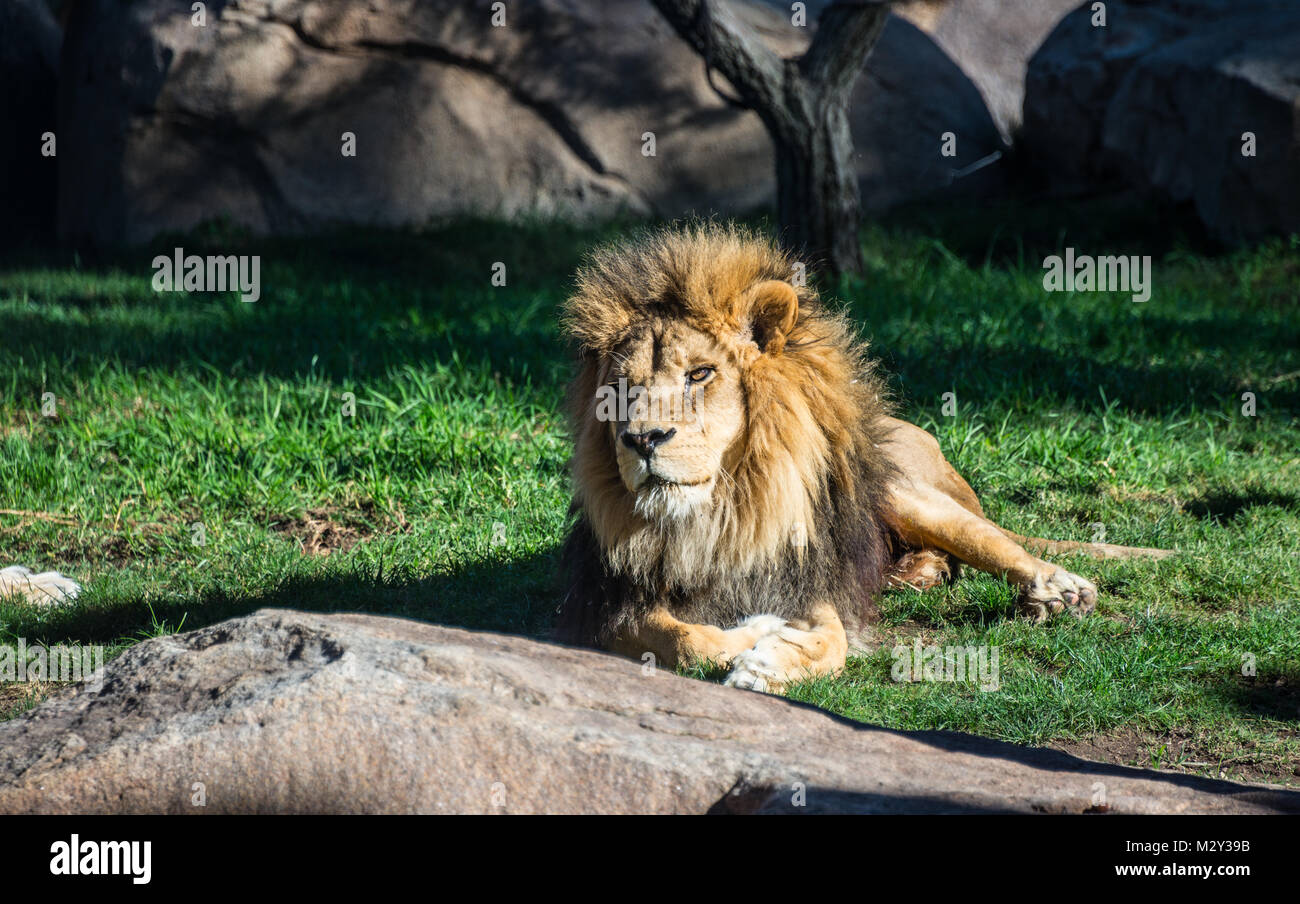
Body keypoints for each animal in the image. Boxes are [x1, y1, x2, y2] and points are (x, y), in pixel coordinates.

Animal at [555, 223, 1170, 693]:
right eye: (622, 388)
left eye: (700, 374)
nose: (642, 440)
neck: (722, 514)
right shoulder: (605, 606)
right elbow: (682, 637)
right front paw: (752, 637)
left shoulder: (809, 579)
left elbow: (834, 643)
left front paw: (765, 659)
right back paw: (916, 575)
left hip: (909, 495)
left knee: (993, 542)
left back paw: (1056, 589)